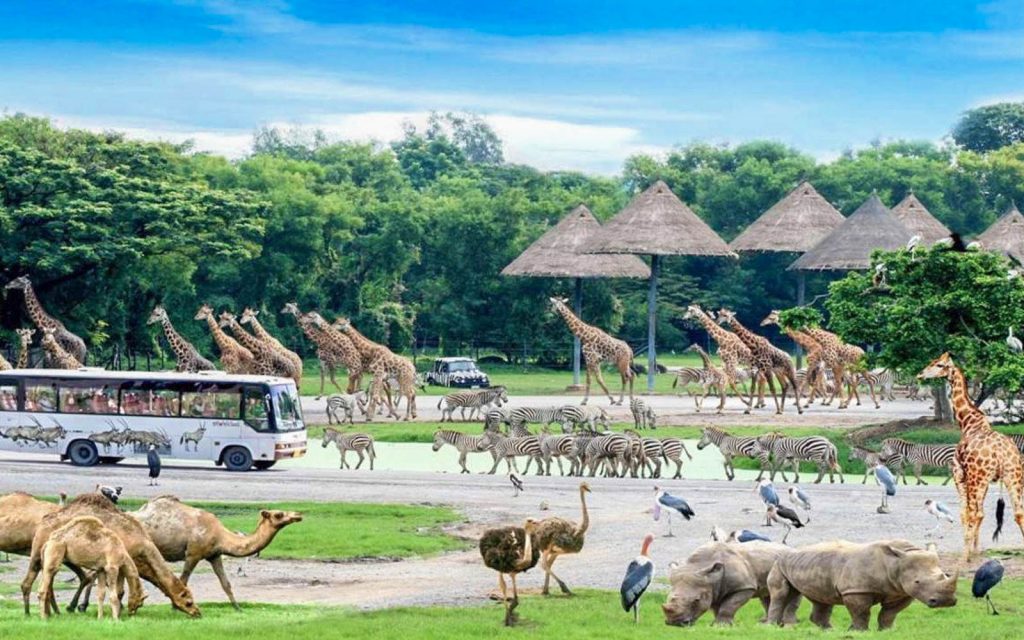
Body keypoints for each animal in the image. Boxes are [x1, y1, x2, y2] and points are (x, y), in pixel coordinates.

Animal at [22, 491, 199, 618]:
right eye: (188, 601)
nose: (198, 613)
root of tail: (42, 523)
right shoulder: (120, 559)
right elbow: (119, 591)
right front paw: (118, 612)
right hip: (40, 551)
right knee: (29, 581)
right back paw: (32, 613)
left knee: (48, 582)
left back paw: (52, 612)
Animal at [133, 493, 299, 610]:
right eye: (279, 514)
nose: (297, 515)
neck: (220, 535)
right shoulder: (193, 553)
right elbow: (183, 580)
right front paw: (176, 608)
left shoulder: (214, 555)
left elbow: (226, 583)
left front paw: (238, 608)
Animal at [921, 352, 1024, 561]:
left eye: (939, 364)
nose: (921, 374)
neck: (968, 423)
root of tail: (1001, 452)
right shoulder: (983, 481)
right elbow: (977, 513)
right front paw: (976, 550)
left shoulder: (959, 475)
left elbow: (965, 513)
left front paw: (968, 551)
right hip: (1013, 476)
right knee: (1019, 513)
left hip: (980, 478)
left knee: (975, 513)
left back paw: (964, 556)